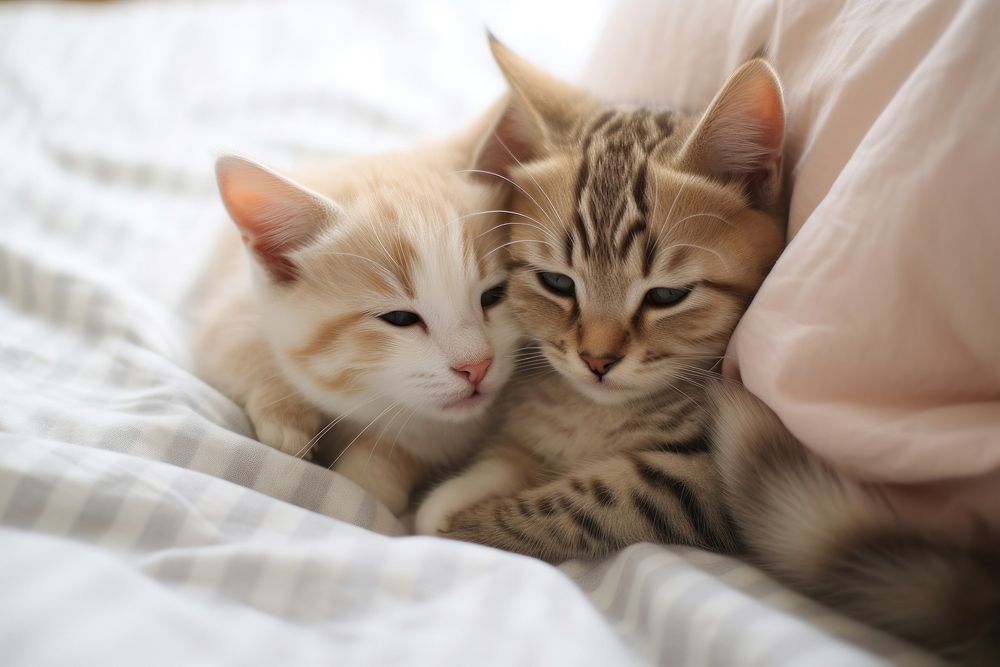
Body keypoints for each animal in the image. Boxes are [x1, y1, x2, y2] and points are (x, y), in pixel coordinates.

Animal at [196, 121, 524, 516]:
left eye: (494, 295)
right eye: (399, 318)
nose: (476, 366)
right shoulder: (231, 311)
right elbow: (231, 349)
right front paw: (285, 418)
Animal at [416, 39, 1000, 664]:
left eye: (667, 296)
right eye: (556, 283)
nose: (597, 361)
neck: (596, 416)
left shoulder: (696, 480)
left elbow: (593, 496)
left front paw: (470, 529)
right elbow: (514, 453)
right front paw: (452, 496)